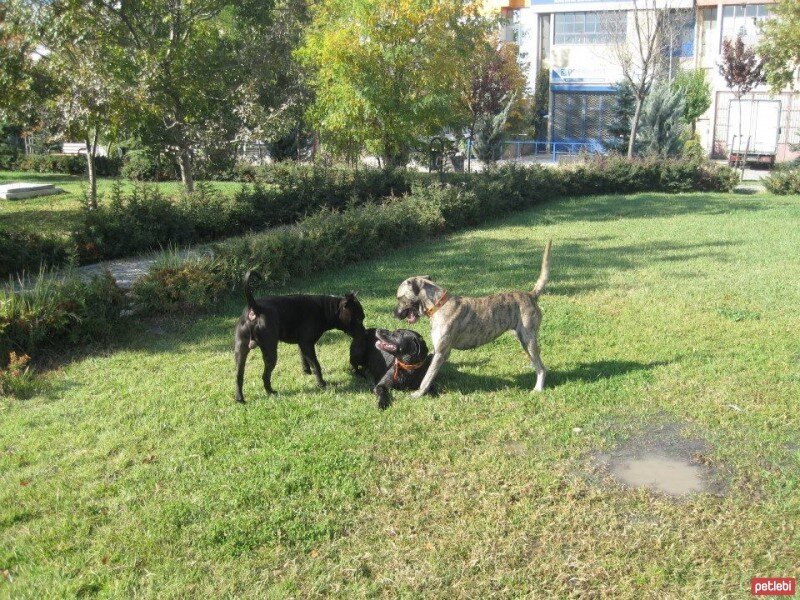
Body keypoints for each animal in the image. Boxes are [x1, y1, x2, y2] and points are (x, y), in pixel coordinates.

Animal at [234, 268, 366, 400]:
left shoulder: (302, 344)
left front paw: (307, 372)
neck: (326, 309)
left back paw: (240, 399)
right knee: (265, 375)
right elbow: (316, 365)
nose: (365, 333)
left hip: (240, 351)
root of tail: (255, 307)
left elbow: (304, 359)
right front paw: (321, 383)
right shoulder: (307, 345)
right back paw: (270, 391)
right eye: (359, 319)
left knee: (238, 375)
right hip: (270, 351)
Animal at [392, 239, 552, 398]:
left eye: (399, 298)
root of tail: (531, 295)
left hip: (528, 339)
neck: (438, 305)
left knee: (542, 368)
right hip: (523, 339)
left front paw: (418, 393)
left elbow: (427, 376)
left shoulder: (441, 352)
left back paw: (538, 388)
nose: (395, 314)